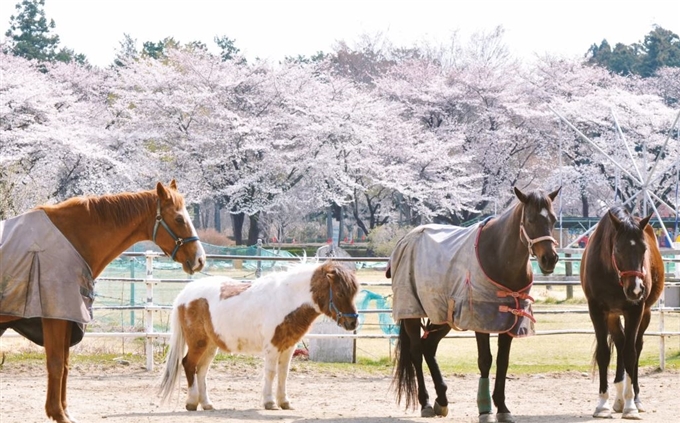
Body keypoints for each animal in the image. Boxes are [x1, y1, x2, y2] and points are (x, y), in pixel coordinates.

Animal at [0, 181, 207, 422]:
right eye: (179, 219)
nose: (200, 259)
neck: (72, 238)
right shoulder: (55, 317)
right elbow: (56, 363)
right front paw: (58, 414)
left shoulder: (68, 317)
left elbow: (65, 365)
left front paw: (64, 411)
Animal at [159, 260, 362, 412]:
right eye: (339, 293)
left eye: (354, 293)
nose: (353, 323)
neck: (287, 299)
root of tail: (185, 294)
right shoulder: (272, 347)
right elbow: (271, 373)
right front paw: (270, 402)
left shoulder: (288, 347)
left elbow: (283, 374)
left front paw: (284, 402)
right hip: (198, 342)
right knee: (188, 364)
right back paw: (192, 402)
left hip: (211, 345)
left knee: (201, 370)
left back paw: (207, 404)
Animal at [386, 188, 560, 423]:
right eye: (531, 219)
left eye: (553, 219)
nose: (549, 258)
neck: (499, 255)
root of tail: (406, 238)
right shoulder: (480, 318)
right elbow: (485, 360)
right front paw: (485, 409)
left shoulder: (509, 321)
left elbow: (503, 361)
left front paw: (502, 407)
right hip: (411, 311)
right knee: (416, 351)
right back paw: (426, 402)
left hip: (443, 315)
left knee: (428, 346)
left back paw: (442, 399)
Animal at [580, 207, 664, 420]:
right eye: (618, 249)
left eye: (644, 249)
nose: (635, 289)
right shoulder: (597, 310)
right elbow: (604, 353)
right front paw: (602, 405)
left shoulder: (635, 310)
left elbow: (630, 353)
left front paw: (630, 405)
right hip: (612, 315)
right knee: (620, 342)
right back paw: (618, 399)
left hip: (645, 314)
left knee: (635, 346)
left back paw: (635, 398)